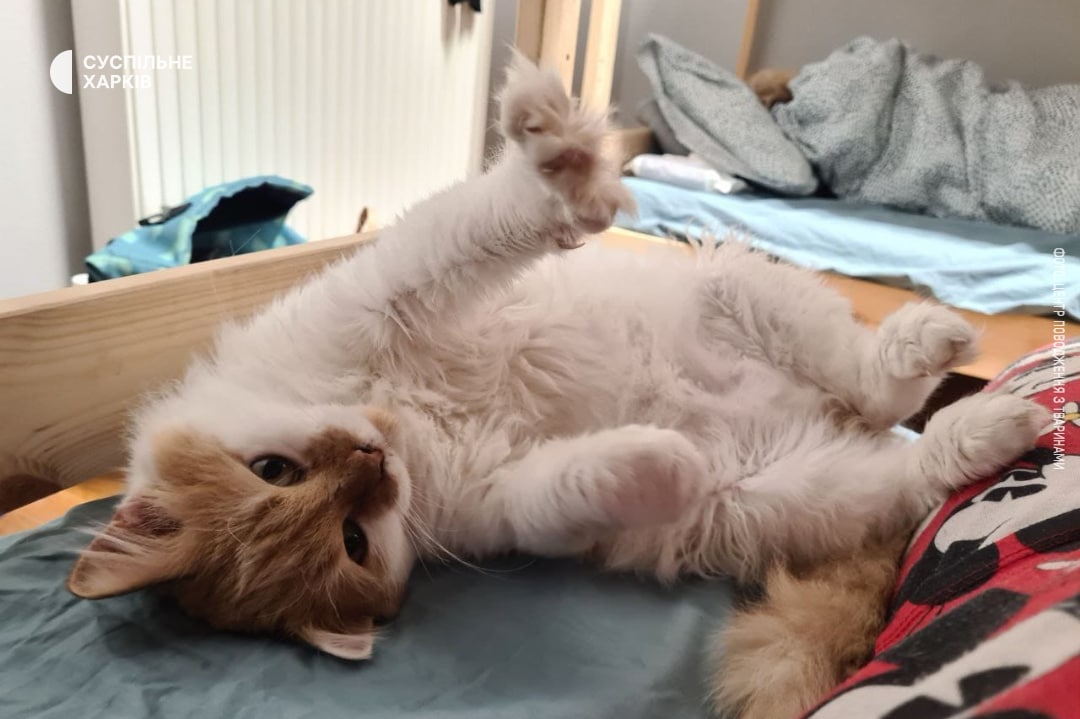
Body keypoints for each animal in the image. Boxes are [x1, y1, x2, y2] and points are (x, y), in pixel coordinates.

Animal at [68, 53, 1047, 705]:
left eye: (274, 471)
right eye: (355, 539)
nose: (372, 460)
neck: (405, 417)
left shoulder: (389, 295)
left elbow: (500, 215)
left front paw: (560, 151)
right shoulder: (505, 504)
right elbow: (574, 482)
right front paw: (659, 457)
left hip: (736, 284)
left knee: (877, 384)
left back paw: (931, 341)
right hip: (772, 494)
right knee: (913, 460)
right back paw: (997, 428)